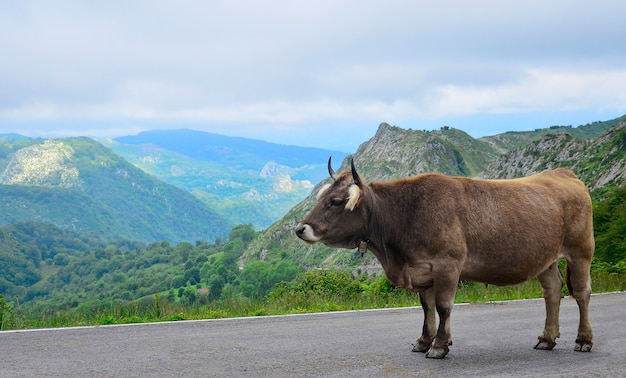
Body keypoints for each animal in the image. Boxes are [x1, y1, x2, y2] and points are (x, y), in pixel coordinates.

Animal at [294, 157, 592, 358]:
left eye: (335, 202)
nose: (300, 229)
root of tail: (563, 173)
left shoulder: (447, 265)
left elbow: (443, 306)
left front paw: (439, 346)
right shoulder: (421, 269)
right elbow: (426, 308)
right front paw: (423, 341)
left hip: (581, 251)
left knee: (581, 293)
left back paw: (584, 340)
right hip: (546, 258)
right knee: (552, 291)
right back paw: (547, 338)